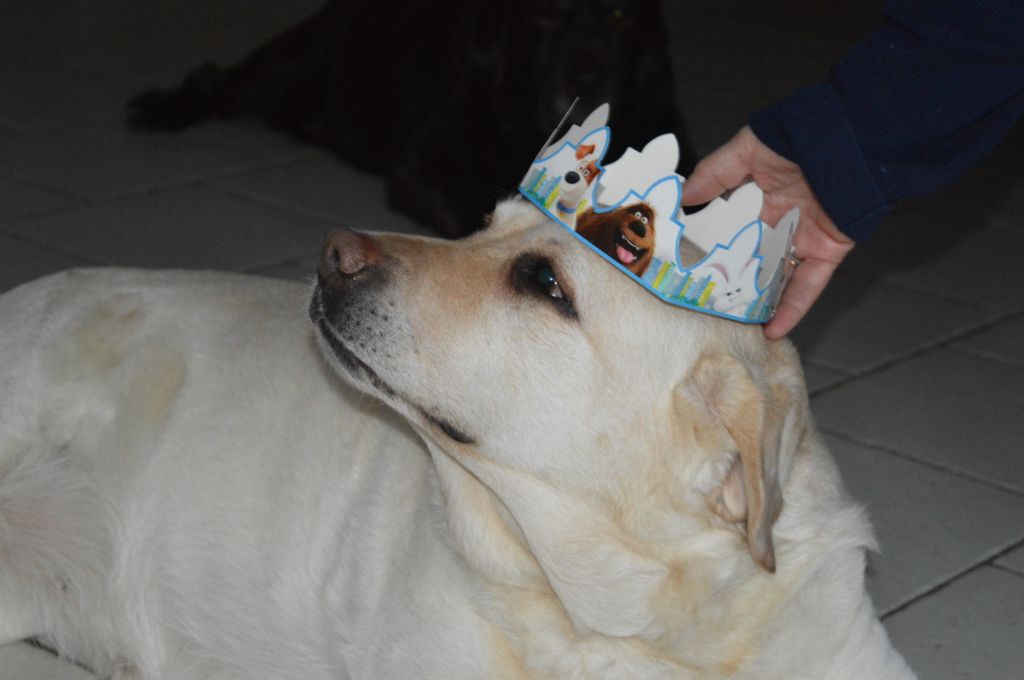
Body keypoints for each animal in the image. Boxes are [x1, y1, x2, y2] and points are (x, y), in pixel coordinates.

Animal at [123, 0, 692, 238]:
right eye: (547, 12)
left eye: (621, 15)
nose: (589, 78)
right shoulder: (425, 165)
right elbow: (474, 209)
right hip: (286, 72)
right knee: (216, 82)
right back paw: (160, 106)